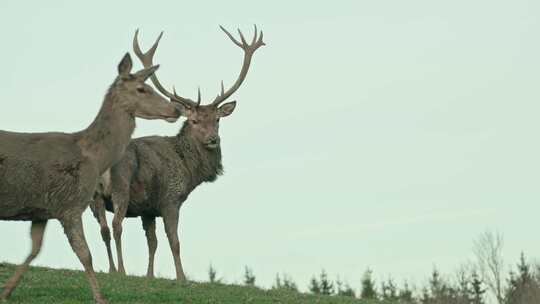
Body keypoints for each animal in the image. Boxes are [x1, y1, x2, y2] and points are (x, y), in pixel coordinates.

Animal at [0, 51, 181, 302]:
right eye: (141, 89)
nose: (177, 110)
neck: (93, 158)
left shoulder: (41, 210)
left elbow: (34, 250)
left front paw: (7, 290)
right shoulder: (70, 203)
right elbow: (85, 254)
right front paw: (100, 297)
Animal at [90, 26, 266, 280]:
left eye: (217, 119)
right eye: (193, 121)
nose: (213, 139)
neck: (189, 170)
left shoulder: (148, 209)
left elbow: (152, 243)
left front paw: (150, 276)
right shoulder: (170, 199)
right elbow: (174, 242)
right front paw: (182, 277)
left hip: (95, 197)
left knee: (103, 229)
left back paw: (112, 270)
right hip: (120, 186)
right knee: (116, 225)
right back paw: (121, 271)